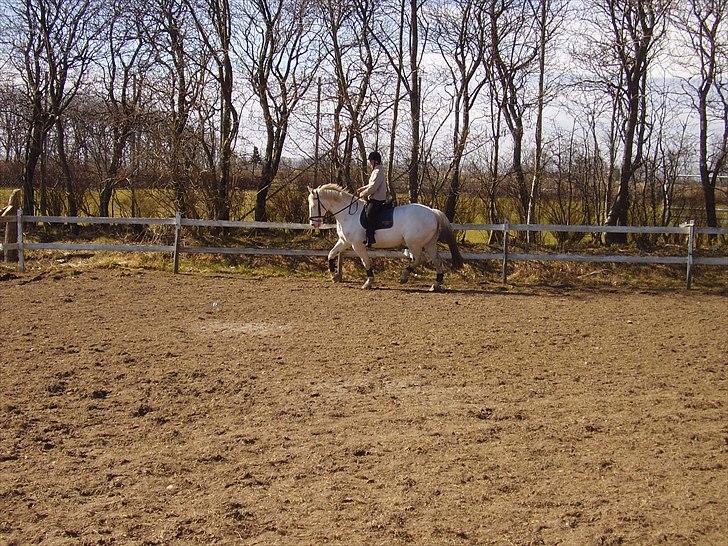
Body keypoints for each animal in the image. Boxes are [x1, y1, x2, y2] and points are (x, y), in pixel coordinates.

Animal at [306, 183, 464, 292]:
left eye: (314, 205)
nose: (313, 224)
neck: (347, 214)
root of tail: (432, 212)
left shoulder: (357, 244)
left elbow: (365, 261)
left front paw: (368, 282)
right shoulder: (344, 241)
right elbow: (331, 254)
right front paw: (334, 276)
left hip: (414, 243)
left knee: (420, 259)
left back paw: (404, 276)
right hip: (429, 243)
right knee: (437, 260)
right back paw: (435, 284)